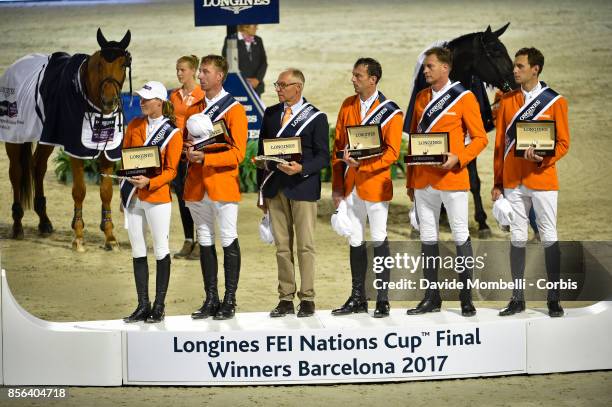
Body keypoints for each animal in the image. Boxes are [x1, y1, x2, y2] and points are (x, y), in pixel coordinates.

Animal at [3, 28, 130, 252]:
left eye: (123, 64)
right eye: (100, 65)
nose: (109, 101)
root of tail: (15, 67)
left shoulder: (108, 153)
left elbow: (106, 192)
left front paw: (109, 237)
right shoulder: (76, 150)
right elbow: (79, 191)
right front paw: (78, 236)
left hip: (45, 138)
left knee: (37, 167)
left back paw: (44, 221)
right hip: (14, 136)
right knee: (16, 173)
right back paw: (17, 226)